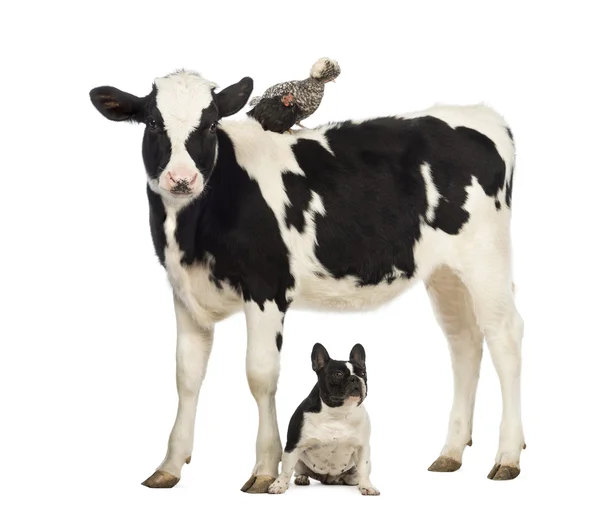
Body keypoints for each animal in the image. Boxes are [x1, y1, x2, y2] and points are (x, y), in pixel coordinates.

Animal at [89, 70, 524, 494]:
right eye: (152, 122)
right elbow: (186, 377)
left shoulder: (266, 287)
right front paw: (169, 466)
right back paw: (451, 452)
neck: (191, 233)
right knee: (465, 342)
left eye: (210, 124)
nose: (182, 179)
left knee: (504, 337)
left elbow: (260, 375)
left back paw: (507, 456)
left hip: (487, 257)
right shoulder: (185, 293)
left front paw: (264, 469)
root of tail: (483, 115)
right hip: (445, 272)